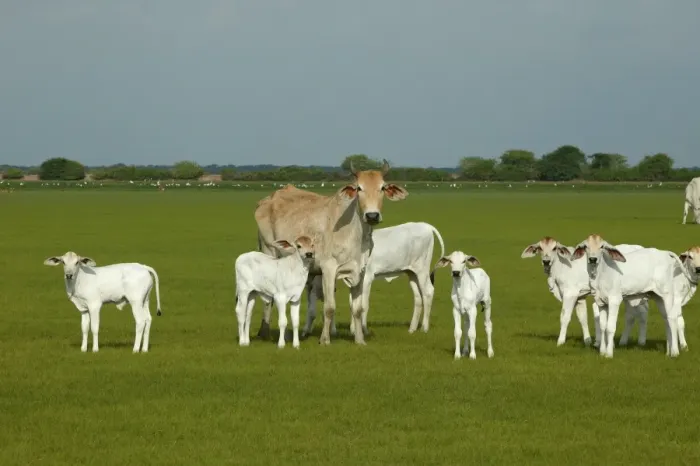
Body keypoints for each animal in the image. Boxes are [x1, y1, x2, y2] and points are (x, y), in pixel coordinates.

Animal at [253, 160, 409, 345]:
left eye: (382, 188)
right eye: (359, 188)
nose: (372, 215)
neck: (355, 234)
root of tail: (267, 200)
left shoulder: (360, 271)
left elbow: (358, 309)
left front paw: (359, 339)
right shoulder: (328, 269)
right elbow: (329, 307)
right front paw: (325, 339)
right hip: (269, 251)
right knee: (267, 297)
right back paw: (265, 332)